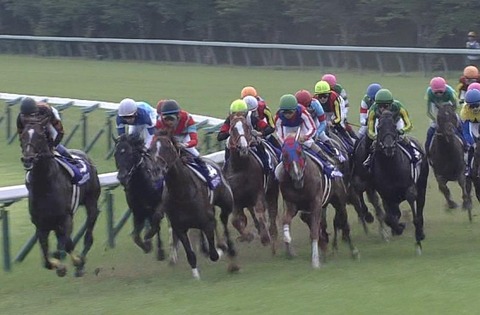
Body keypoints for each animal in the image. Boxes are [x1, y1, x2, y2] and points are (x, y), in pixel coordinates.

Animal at [19, 119, 100, 278]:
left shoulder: (65, 219)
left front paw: (73, 262)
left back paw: (80, 262)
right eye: (23, 136)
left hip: (91, 203)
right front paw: (57, 263)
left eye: (40, 137)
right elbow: (46, 259)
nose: (27, 159)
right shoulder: (41, 225)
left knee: (89, 234)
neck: (44, 185)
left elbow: (65, 245)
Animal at [145, 132, 237, 280]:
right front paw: (196, 276)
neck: (182, 193)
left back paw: (230, 250)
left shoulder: (207, 222)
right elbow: (191, 255)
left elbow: (214, 254)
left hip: (226, 203)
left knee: (223, 220)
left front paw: (220, 250)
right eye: (151, 149)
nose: (156, 170)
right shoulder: (179, 228)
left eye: (167, 147)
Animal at [226, 116, 280, 254]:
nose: (243, 148)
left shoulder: (258, 192)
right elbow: (235, 220)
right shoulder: (236, 199)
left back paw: (272, 234)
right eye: (232, 128)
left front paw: (265, 238)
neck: (240, 168)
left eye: (247, 127)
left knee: (272, 211)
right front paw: (247, 236)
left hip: (272, 190)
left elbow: (260, 211)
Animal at [276, 134, 358, 270]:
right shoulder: (292, 205)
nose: (297, 177)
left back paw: (353, 251)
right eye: (285, 155)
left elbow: (314, 231)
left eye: (299, 152)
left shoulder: (315, 203)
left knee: (344, 223)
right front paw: (288, 239)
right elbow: (286, 221)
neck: (301, 184)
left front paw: (315, 260)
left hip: (339, 201)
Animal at [368, 111, 428, 254]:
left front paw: (418, 238)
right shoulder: (385, 195)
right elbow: (388, 217)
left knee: (420, 206)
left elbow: (415, 215)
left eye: (394, 127)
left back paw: (421, 231)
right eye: (379, 127)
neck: (391, 168)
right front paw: (399, 227)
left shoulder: (410, 190)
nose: (389, 147)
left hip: (422, 184)